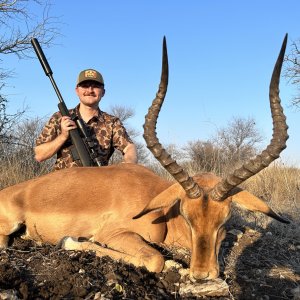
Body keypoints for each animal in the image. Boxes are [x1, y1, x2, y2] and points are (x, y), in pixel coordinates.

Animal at [0, 35, 288, 282]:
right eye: (186, 215)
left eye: (225, 219)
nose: (202, 275)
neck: (161, 211)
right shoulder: (115, 233)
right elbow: (154, 259)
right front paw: (73, 241)